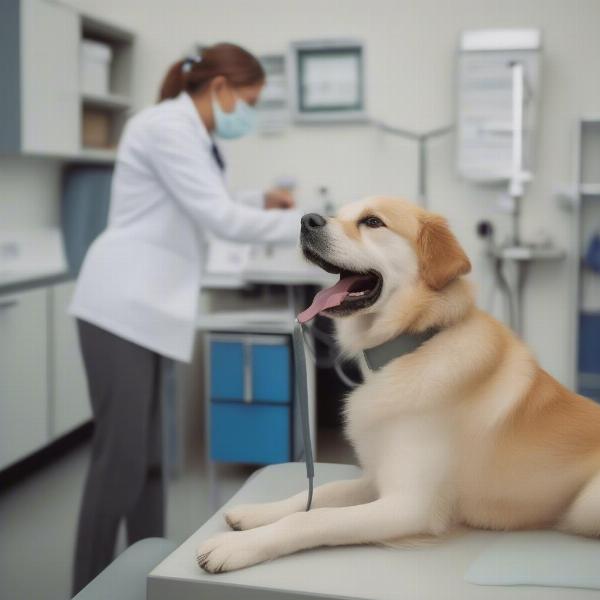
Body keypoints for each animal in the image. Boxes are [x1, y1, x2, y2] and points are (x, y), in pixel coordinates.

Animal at [197, 196, 600, 572]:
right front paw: (255, 513)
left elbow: (311, 519)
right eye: (339, 214)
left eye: (373, 222)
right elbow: (315, 495)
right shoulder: (376, 478)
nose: (306, 220)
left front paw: (235, 547)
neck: (412, 345)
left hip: (585, 504)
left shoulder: (410, 505)